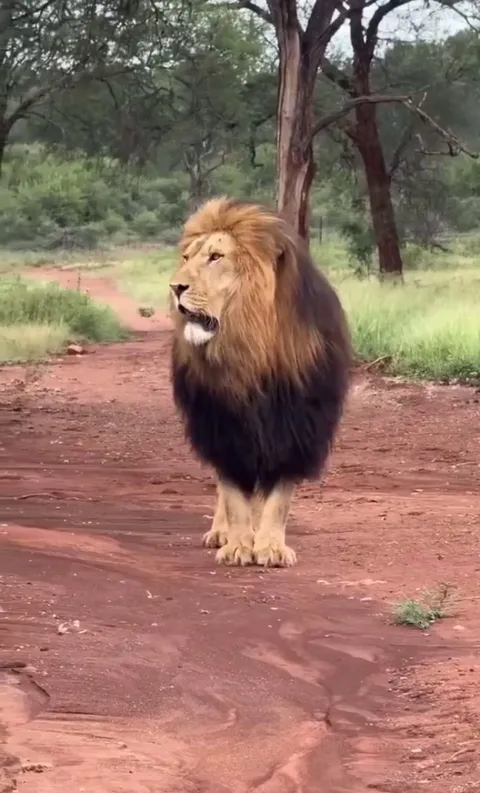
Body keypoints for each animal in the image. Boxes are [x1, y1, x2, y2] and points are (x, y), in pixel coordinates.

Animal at [169, 197, 351, 567]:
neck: (250, 351)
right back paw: (221, 532)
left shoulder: (297, 428)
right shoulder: (222, 427)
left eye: (216, 257)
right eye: (186, 258)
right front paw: (239, 545)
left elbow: (278, 498)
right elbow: (233, 496)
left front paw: (270, 547)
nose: (175, 287)